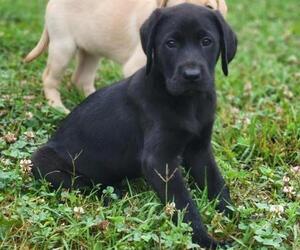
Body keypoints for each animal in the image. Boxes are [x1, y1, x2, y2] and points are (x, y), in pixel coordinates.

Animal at [32, 3, 237, 248]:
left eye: (206, 41)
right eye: (171, 43)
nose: (191, 75)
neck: (188, 102)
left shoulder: (200, 150)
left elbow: (216, 183)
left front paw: (233, 215)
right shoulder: (159, 160)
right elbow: (183, 202)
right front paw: (204, 239)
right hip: (42, 159)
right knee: (82, 184)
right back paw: (111, 193)